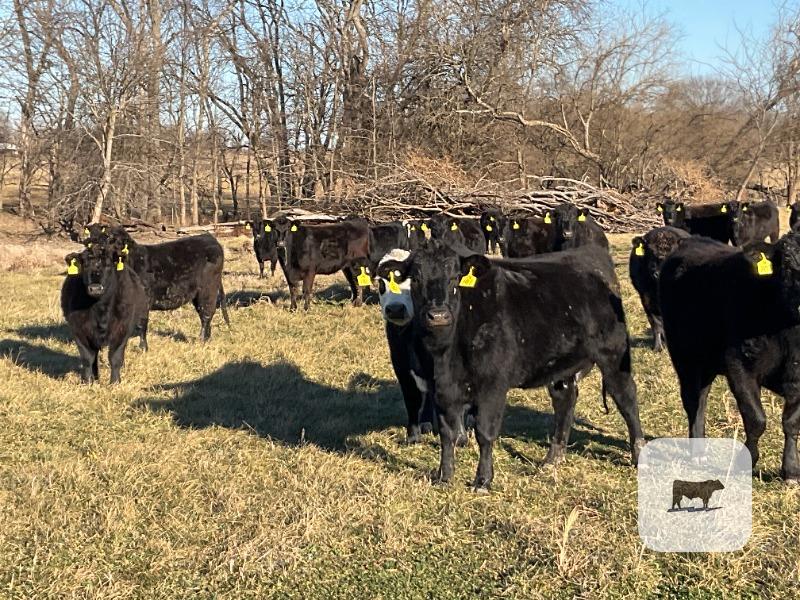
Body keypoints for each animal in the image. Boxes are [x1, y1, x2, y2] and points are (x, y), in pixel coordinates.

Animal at [61, 243, 149, 383]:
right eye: (84, 265)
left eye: (108, 265)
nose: (95, 288)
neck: (100, 309)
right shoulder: (79, 330)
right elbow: (87, 358)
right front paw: (87, 381)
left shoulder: (122, 329)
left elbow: (115, 357)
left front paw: (115, 382)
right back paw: (95, 377)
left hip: (143, 316)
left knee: (142, 331)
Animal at [82, 224, 230, 342]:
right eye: (93, 240)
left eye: (112, 240)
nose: (98, 250)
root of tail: (209, 237)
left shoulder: (144, 299)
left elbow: (141, 324)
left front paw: (142, 348)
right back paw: (207, 339)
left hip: (208, 289)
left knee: (206, 314)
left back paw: (202, 340)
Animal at [397, 240, 645, 490]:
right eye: (415, 279)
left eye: (455, 277)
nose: (438, 315)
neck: (445, 355)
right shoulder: (440, 389)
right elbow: (447, 435)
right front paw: (444, 477)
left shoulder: (493, 385)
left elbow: (484, 433)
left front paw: (483, 480)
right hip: (562, 363)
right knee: (565, 402)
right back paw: (552, 460)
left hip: (614, 355)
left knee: (626, 399)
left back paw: (638, 453)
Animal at [659, 234, 800, 482]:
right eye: (789, 266)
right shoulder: (739, 366)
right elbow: (756, 419)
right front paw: (746, 462)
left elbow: (791, 423)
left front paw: (791, 470)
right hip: (685, 359)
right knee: (693, 402)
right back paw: (698, 452)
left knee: (702, 398)